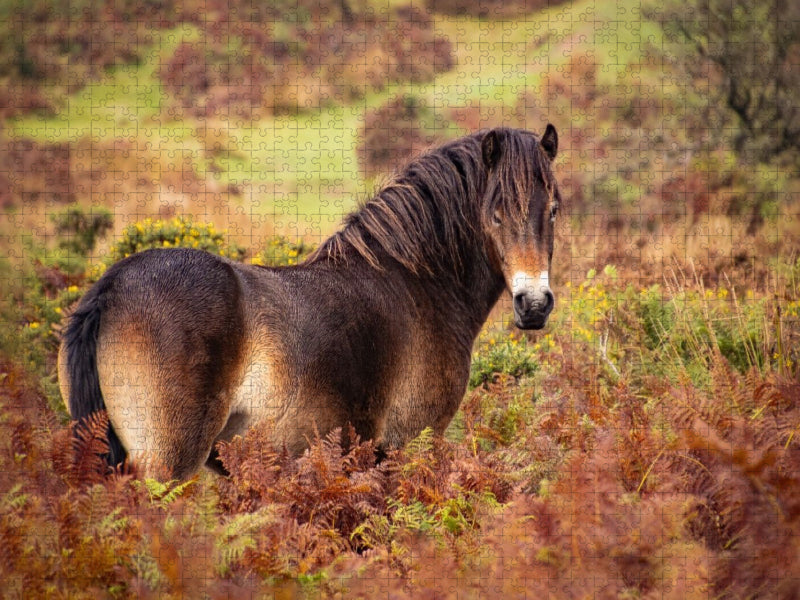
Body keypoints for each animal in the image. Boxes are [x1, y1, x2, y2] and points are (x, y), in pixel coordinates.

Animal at [58, 125, 561, 479]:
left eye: (554, 209)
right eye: (496, 213)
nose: (534, 303)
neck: (416, 284)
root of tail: (111, 288)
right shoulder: (403, 446)